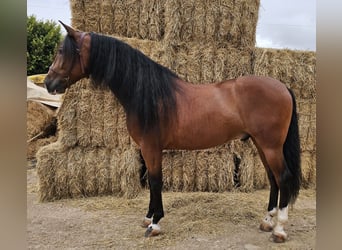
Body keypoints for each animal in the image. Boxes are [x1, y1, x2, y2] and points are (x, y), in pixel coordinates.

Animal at [44, 22, 300, 243]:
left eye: (62, 50)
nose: (48, 82)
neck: (148, 94)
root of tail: (283, 87)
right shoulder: (146, 149)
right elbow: (150, 181)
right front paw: (148, 217)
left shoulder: (151, 148)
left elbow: (156, 182)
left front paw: (155, 224)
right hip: (260, 143)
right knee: (273, 179)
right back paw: (267, 221)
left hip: (270, 145)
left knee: (284, 178)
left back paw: (279, 230)